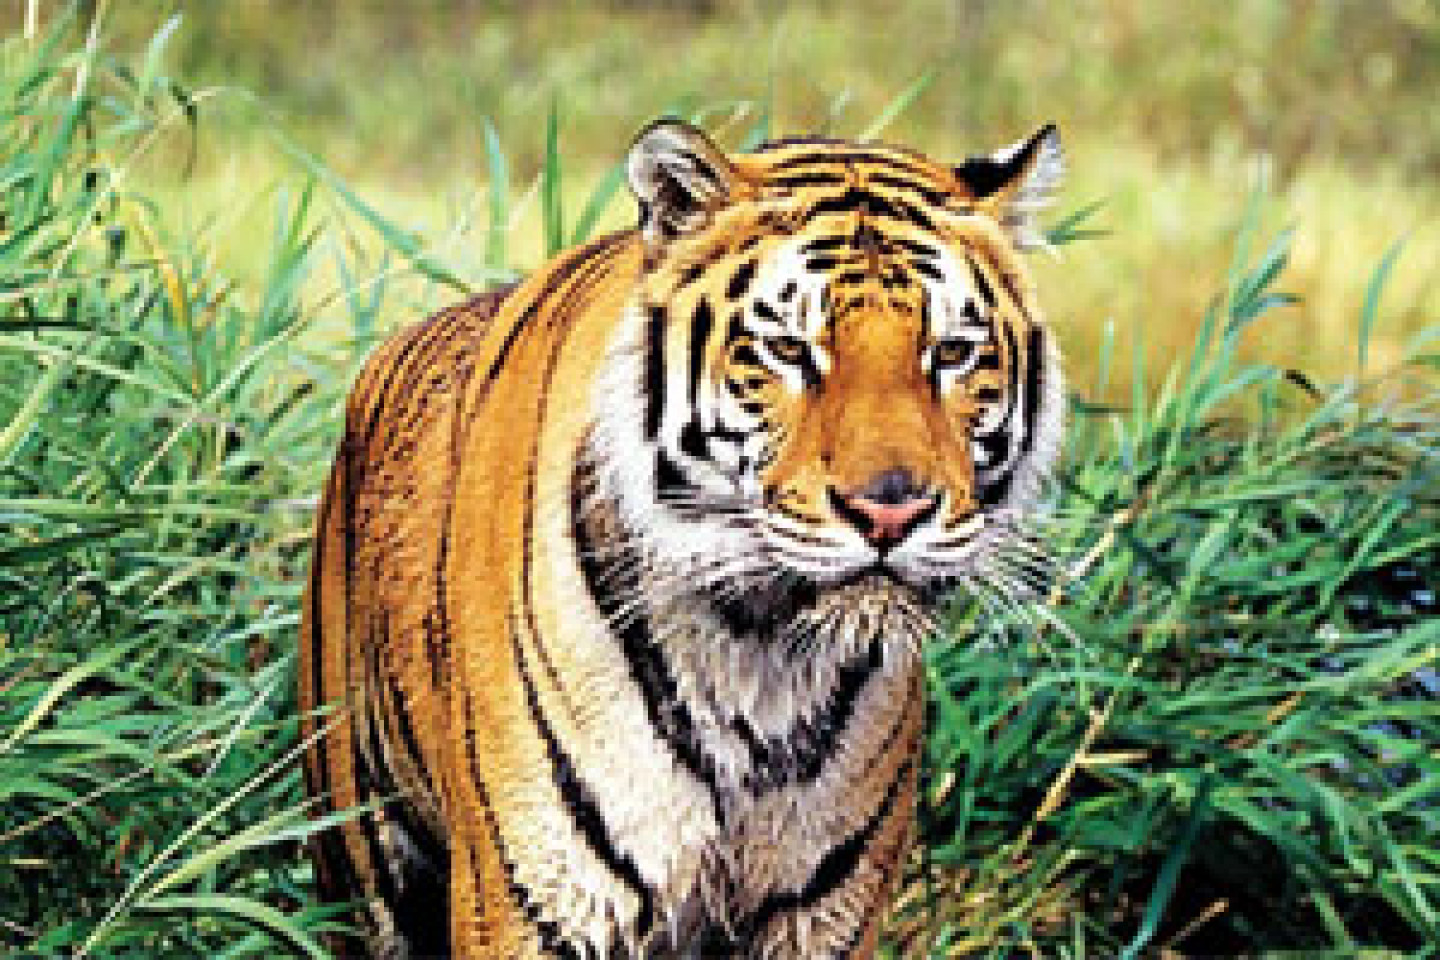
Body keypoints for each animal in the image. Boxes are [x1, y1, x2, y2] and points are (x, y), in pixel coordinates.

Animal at [299, 117, 1067, 958]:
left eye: (952, 352)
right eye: (788, 350)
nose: (891, 512)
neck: (758, 654)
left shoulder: (828, 914)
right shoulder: (537, 901)